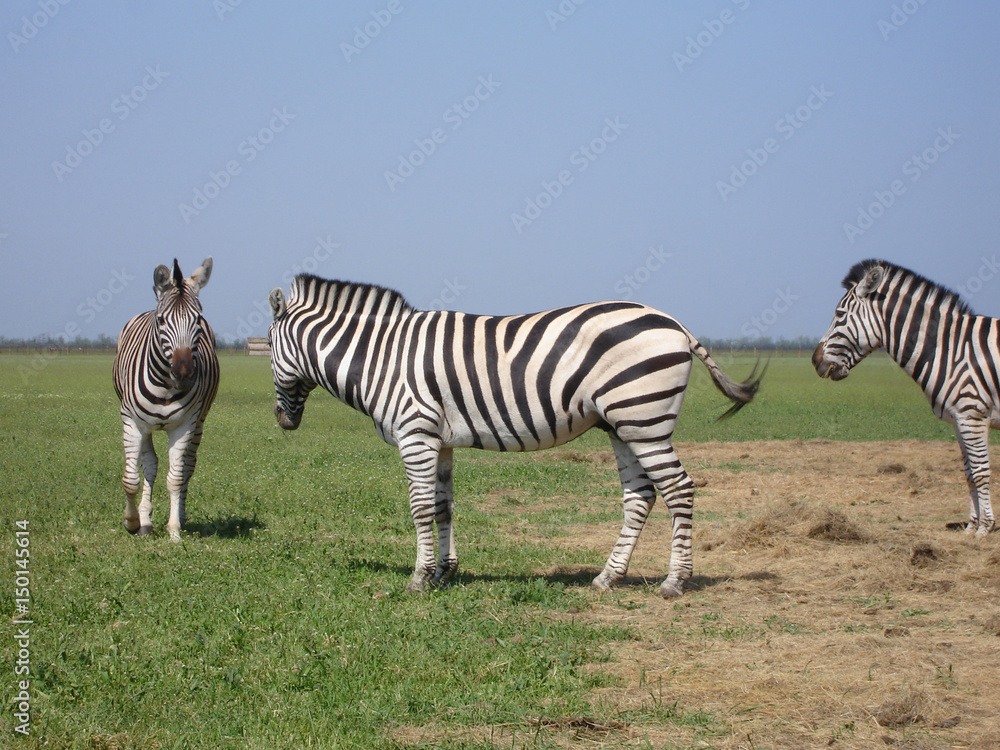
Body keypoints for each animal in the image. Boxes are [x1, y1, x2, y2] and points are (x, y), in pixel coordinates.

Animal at [113, 258, 220, 541]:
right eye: (161, 320)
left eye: (198, 319)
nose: (183, 373)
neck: (165, 386)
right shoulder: (132, 422)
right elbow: (131, 479)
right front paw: (131, 522)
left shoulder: (185, 425)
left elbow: (176, 478)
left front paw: (173, 530)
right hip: (145, 427)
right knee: (149, 465)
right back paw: (145, 521)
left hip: (199, 423)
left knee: (187, 468)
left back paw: (177, 516)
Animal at [267, 274, 763, 597]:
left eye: (266, 347)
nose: (281, 420)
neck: (380, 357)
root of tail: (675, 323)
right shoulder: (440, 441)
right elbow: (444, 507)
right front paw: (445, 573)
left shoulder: (416, 435)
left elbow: (421, 508)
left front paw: (419, 579)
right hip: (624, 425)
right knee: (640, 496)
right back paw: (608, 577)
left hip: (644, 421)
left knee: (679, 489)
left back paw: (675, 581)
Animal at [813, 258, 1000, 537]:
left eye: (839, 315)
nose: (814, 361)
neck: (951, 349)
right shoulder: (959, 420)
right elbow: (967, 471)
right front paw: (970, 526)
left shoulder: (973, 416)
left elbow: (980, 472)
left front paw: (985, 528)